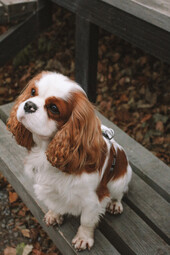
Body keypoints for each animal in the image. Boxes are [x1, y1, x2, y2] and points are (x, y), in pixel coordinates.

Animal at [7, 71, 132, 251]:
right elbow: (54, 203)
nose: (29, 105)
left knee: (119, 193)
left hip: (119, 181)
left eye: (54, 108)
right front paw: (54, 214)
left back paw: (115, 204)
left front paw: (83, 238)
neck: (46, 150)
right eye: (32, 92)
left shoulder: (93, 199)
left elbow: (87, 220)